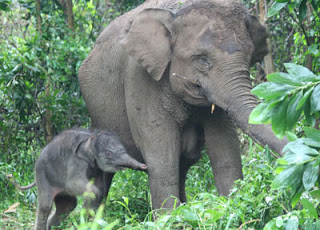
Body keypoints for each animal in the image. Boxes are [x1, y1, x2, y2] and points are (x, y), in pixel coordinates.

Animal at [78, 0, 288, 209]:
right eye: (203, 59)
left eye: (249, 56)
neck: (176, 13)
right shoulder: (139, 79)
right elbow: (161, 157)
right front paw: (168, 216)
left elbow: (225, 147)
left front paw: (230, 204)